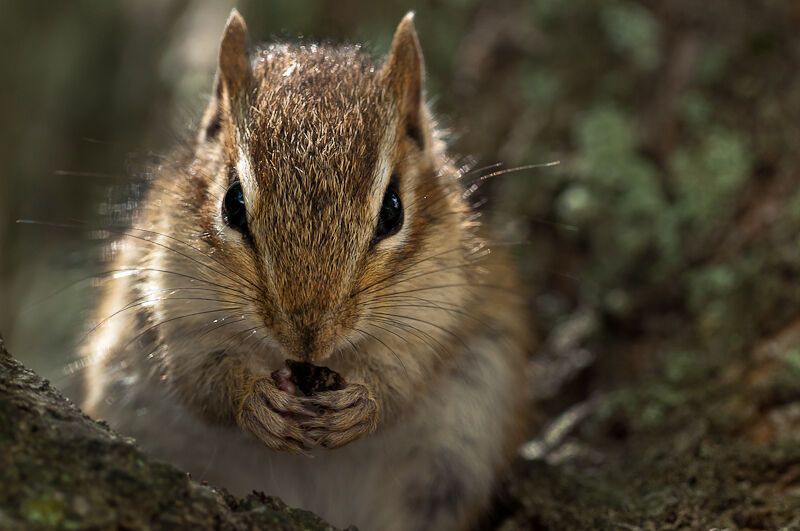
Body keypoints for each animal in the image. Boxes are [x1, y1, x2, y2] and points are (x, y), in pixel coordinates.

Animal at [81, 9, 531, 531]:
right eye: (232, 203)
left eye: (393, 210)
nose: (307, 339)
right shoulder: (170, 301)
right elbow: (199, 376)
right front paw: (254, 401)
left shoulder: (442, 304)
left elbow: (403, 380)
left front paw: (361, 405)